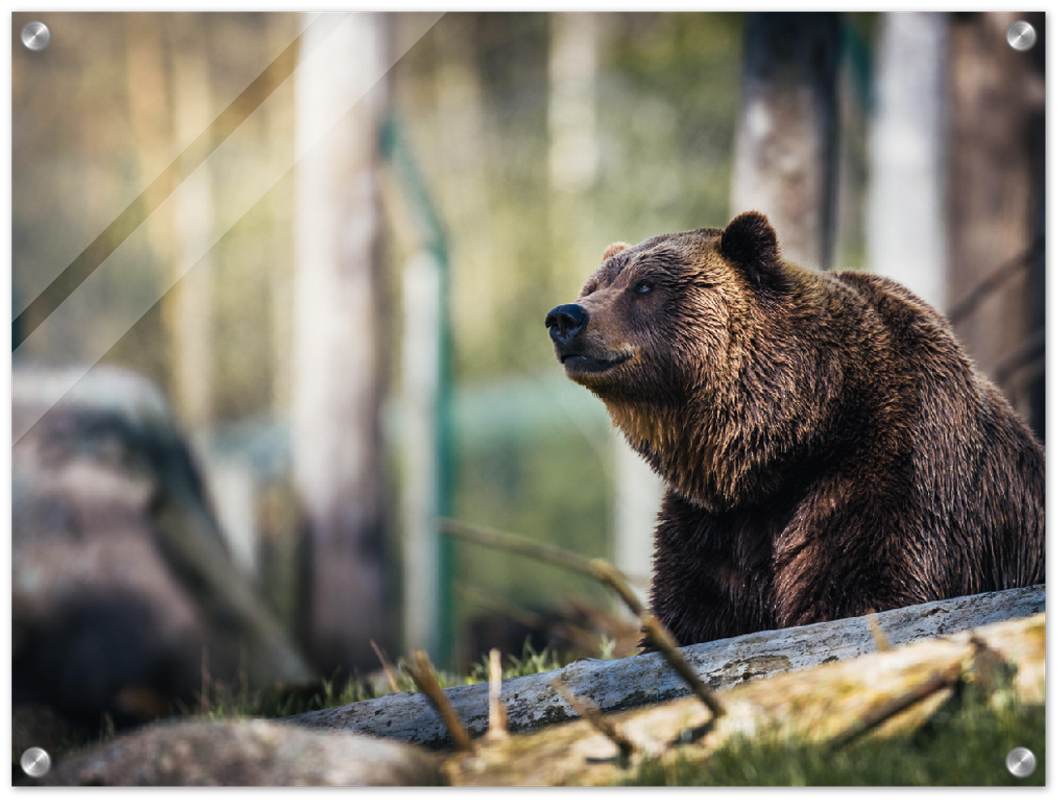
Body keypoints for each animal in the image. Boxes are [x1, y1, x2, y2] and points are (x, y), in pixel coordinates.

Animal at [545, 211, 1046, 647]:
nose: (566, 317)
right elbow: (692, 612)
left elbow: (863, 589)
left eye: (645, 285)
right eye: (594, 285)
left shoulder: (891, 470)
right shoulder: (714, 523)